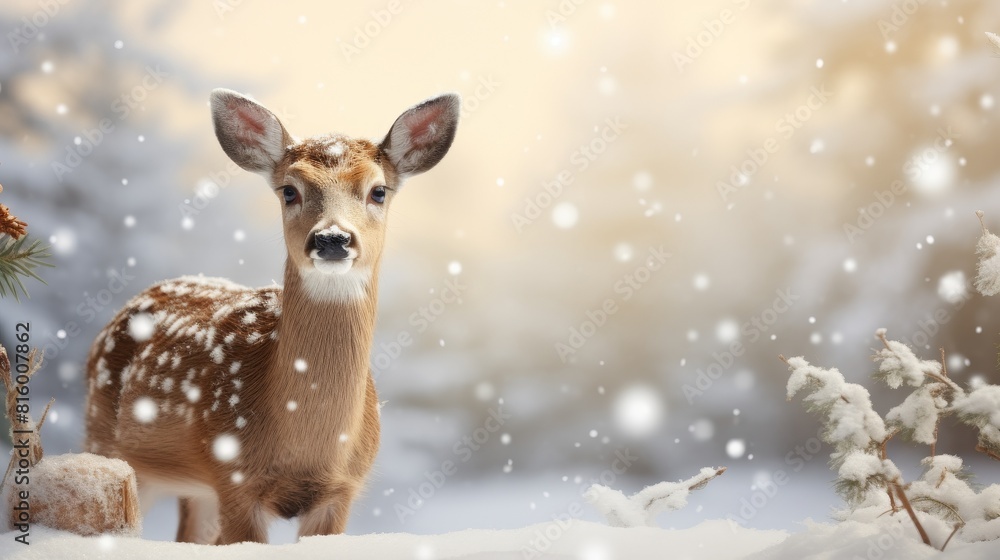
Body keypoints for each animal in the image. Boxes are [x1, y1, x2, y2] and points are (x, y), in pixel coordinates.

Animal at [83, 88, 460, 544]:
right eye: (289, 190)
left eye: (379, 191)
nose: (332, 238)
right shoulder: (234, 478)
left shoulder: (342, 490)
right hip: (106, 443)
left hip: (195, 488)